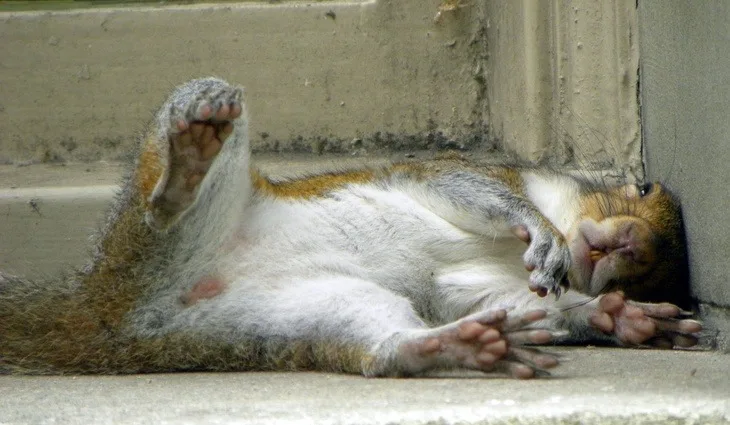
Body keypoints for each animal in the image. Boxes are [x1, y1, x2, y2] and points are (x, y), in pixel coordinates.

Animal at [0, 78, 702, 378]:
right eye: (642, 188)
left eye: (654, 275)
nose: (632, 244)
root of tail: (108, 314)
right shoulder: (463, 175)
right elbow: (475, 194)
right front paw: (542, 233)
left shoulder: (478, 288)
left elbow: (493, 300)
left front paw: (620, 318)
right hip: (154, 226)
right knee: (162, 207)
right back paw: (184, 165)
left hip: (292, 317)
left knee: (382, 351)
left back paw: (454, 347)